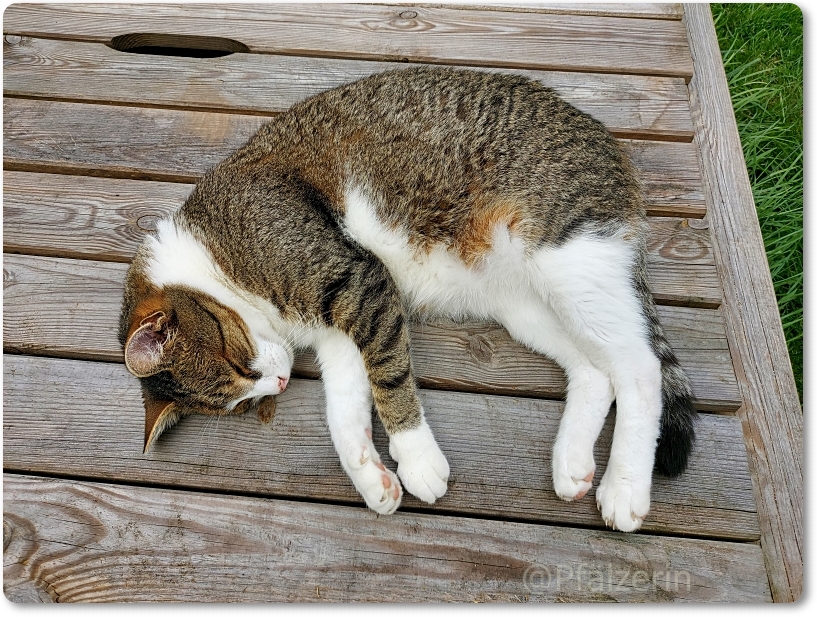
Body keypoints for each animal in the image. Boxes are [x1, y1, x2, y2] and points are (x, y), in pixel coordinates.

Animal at [119, 65, 696, 532]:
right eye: (243, 400)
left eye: (238, 364)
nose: (278, 382)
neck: (211, 254)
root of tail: (605, 140)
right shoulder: (337, 334)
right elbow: (345, 409)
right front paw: (371, 477)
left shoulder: (359, 283)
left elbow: (391, 379)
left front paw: (416, 456)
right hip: (525, 305)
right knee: (594, 370)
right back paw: (572, 463)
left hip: (568, 260)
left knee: (640, 368)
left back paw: (624, 488)